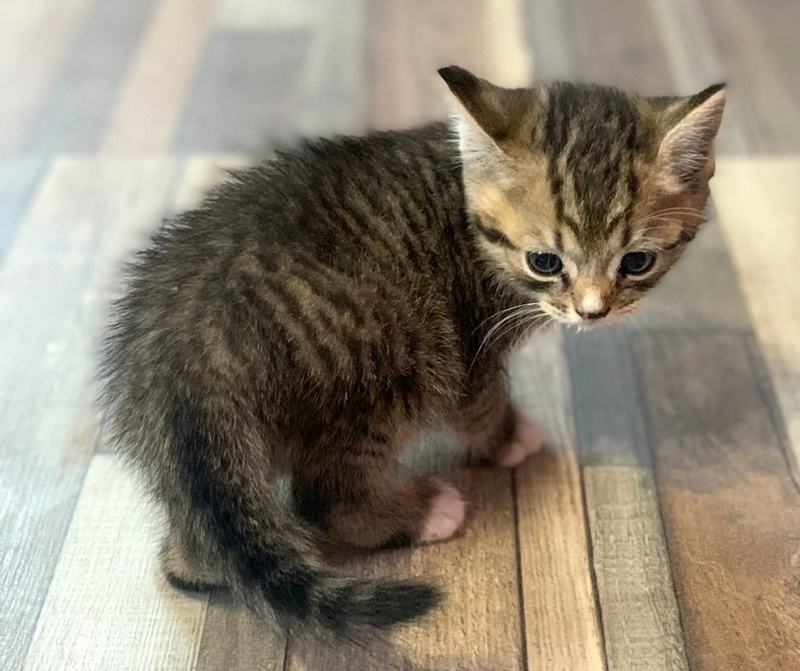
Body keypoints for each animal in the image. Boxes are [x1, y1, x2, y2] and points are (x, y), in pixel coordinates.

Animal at [99, 65, 725, 639]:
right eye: (545, 261)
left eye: (636, 262)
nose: (593, 312)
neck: (464, 191)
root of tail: (182, 348)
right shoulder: (469, 347)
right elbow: (482, 406)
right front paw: (509, 439)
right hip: (393, 372)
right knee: (323, 498)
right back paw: (425, 513)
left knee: (204, 547)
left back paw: (200, 562)